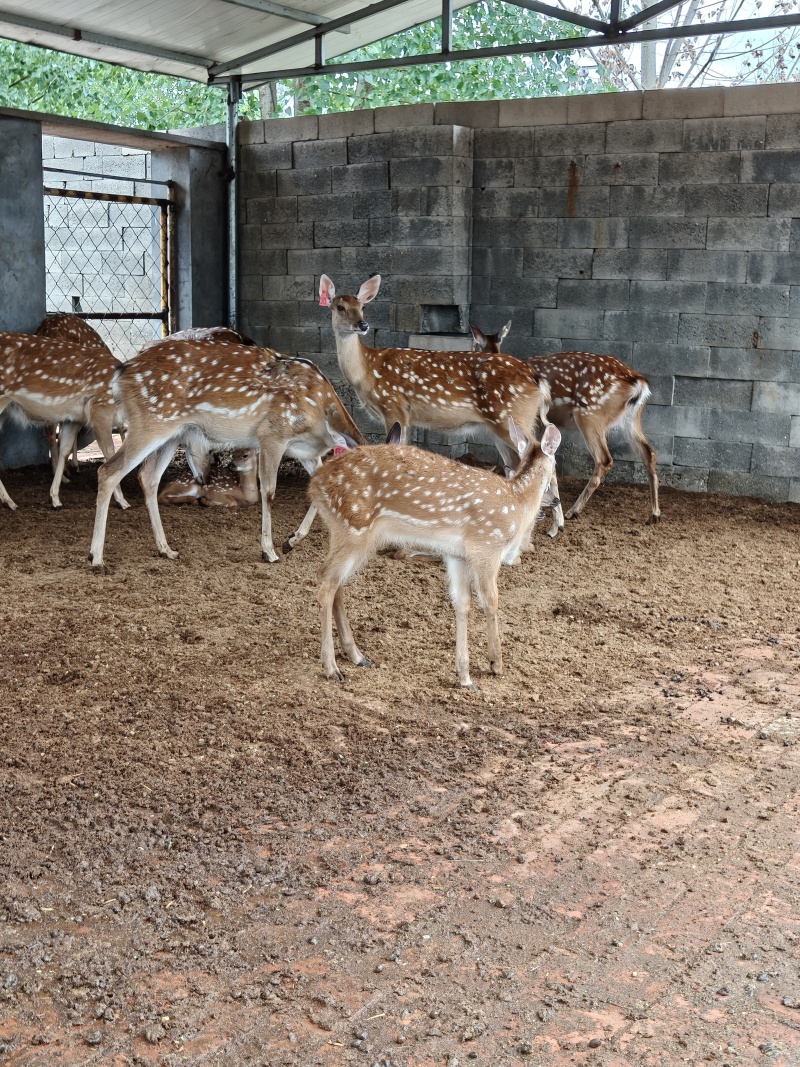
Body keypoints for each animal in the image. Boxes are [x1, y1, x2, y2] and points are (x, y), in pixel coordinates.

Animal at [0, 331, 130, 511]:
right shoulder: (101, 411)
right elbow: (110, 454)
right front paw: (123, 502)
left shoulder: (73, 418)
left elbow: (64, 449)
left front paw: (54, 498)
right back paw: (10, 501)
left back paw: (8, 500)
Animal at [86, 339, 366, 571]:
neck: (320, 418)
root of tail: (121, 374)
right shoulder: (272, 433)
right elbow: (269, 492)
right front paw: (270, 551)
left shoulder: (305, 452)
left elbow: (318, 488)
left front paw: (291, 541)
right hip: (150, 423)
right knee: (108, 471)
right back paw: (96, 559)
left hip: (173, 433)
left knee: (148, 476)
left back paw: (166, 549)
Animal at [310, 419, 561, 688]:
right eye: (556, 462)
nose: (556, 499)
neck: (518, 503)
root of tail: (314, 485)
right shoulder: (487, 545)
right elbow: (490, 600)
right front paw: (496, 663)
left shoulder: (458, 555)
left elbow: (462, 603)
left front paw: (465, 676)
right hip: (354, 527)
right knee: (326, 584)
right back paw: (331, 667)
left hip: (347, 532)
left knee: (333, 580)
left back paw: (356, 655)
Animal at [318, 273, 564, 540]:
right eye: (340, 307)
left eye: (362, 307)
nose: (362, 325)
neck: (366, 372)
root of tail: (536, 379)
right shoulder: (406, 416)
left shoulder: (393, 406)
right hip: (503, 425)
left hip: (514, 415)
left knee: (546, 453)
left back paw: (556, 525)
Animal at [470, 322, 660, 525]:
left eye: (474, 345)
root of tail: (639, 382)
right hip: (631, 419)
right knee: (648, 453)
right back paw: (654, 514)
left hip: (590, 414)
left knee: (604, 459)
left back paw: (573, 511)